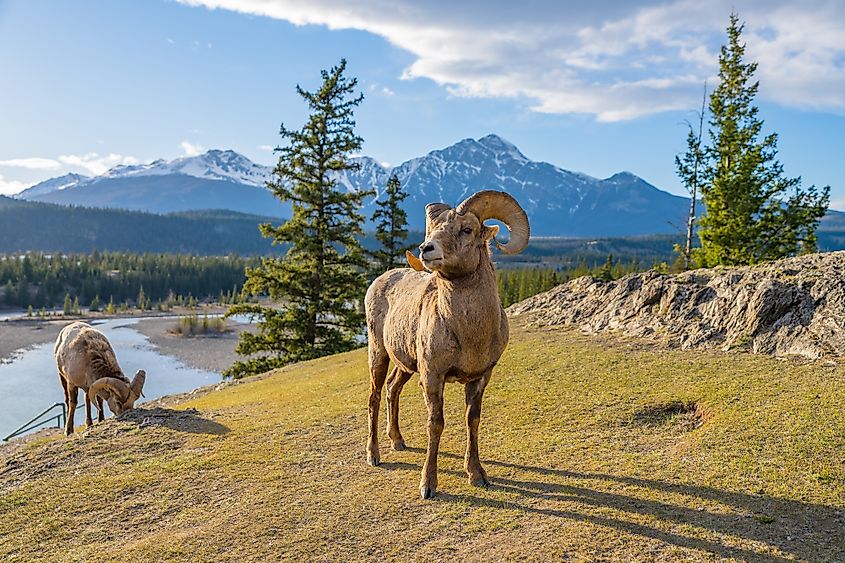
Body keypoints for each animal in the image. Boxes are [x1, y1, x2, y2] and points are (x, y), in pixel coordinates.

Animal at [362, 189, 528, 498]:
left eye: (466, 230)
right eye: (433, 230)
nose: (427, 249)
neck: (469, 334)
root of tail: (379, 280)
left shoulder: (480, 377)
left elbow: (472, 420)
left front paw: (477, 475)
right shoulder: (432, 376)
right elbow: (435, 424)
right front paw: (428, 485)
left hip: (405, 365)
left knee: (392, 390)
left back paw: (398, 441)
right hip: (378, 355)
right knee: (374, 397)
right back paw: (374, 455)